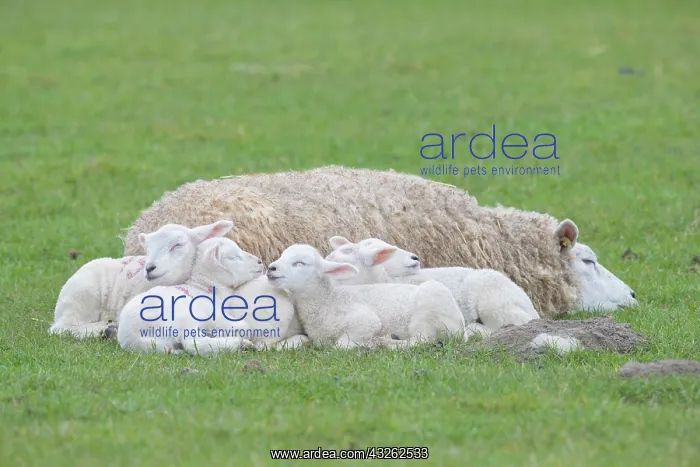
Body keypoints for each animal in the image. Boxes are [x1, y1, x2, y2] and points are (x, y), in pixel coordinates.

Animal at [49, 220, 234, 339]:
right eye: (148, 249)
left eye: (178, 245)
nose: (149, 267)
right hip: (82, 297)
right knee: (63, 328)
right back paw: (102, 329)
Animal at [265, 243, 466, 350]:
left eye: (300, 263)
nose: (271, 268)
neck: (327, 300)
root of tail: (460, 325)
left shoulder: (366, 321)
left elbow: (340, 346)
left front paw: (364, 344)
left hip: (428, 307)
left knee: (421, 341)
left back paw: (382, 342)